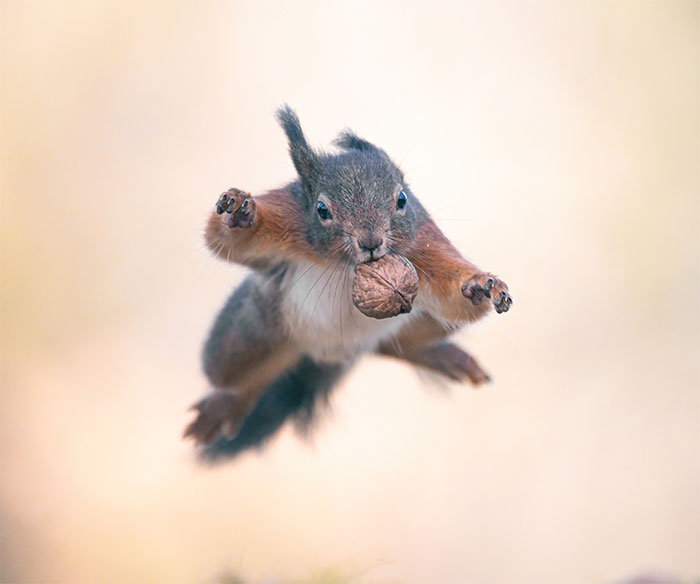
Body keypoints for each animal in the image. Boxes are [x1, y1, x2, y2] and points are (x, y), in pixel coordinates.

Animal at [184, 105, 513, 460]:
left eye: (401, 199)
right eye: (321, 209)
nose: (370, 242)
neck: (351, 266)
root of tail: (324, 355)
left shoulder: (422, 244)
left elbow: (453, 296)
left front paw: (480, 287)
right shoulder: (287, 219)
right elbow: (225, 241)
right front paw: (240, 213)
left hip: (423, 323)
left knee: (396, 347)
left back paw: (438, 355)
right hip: (248, 334)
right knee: (237, 378)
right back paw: (226, 405)